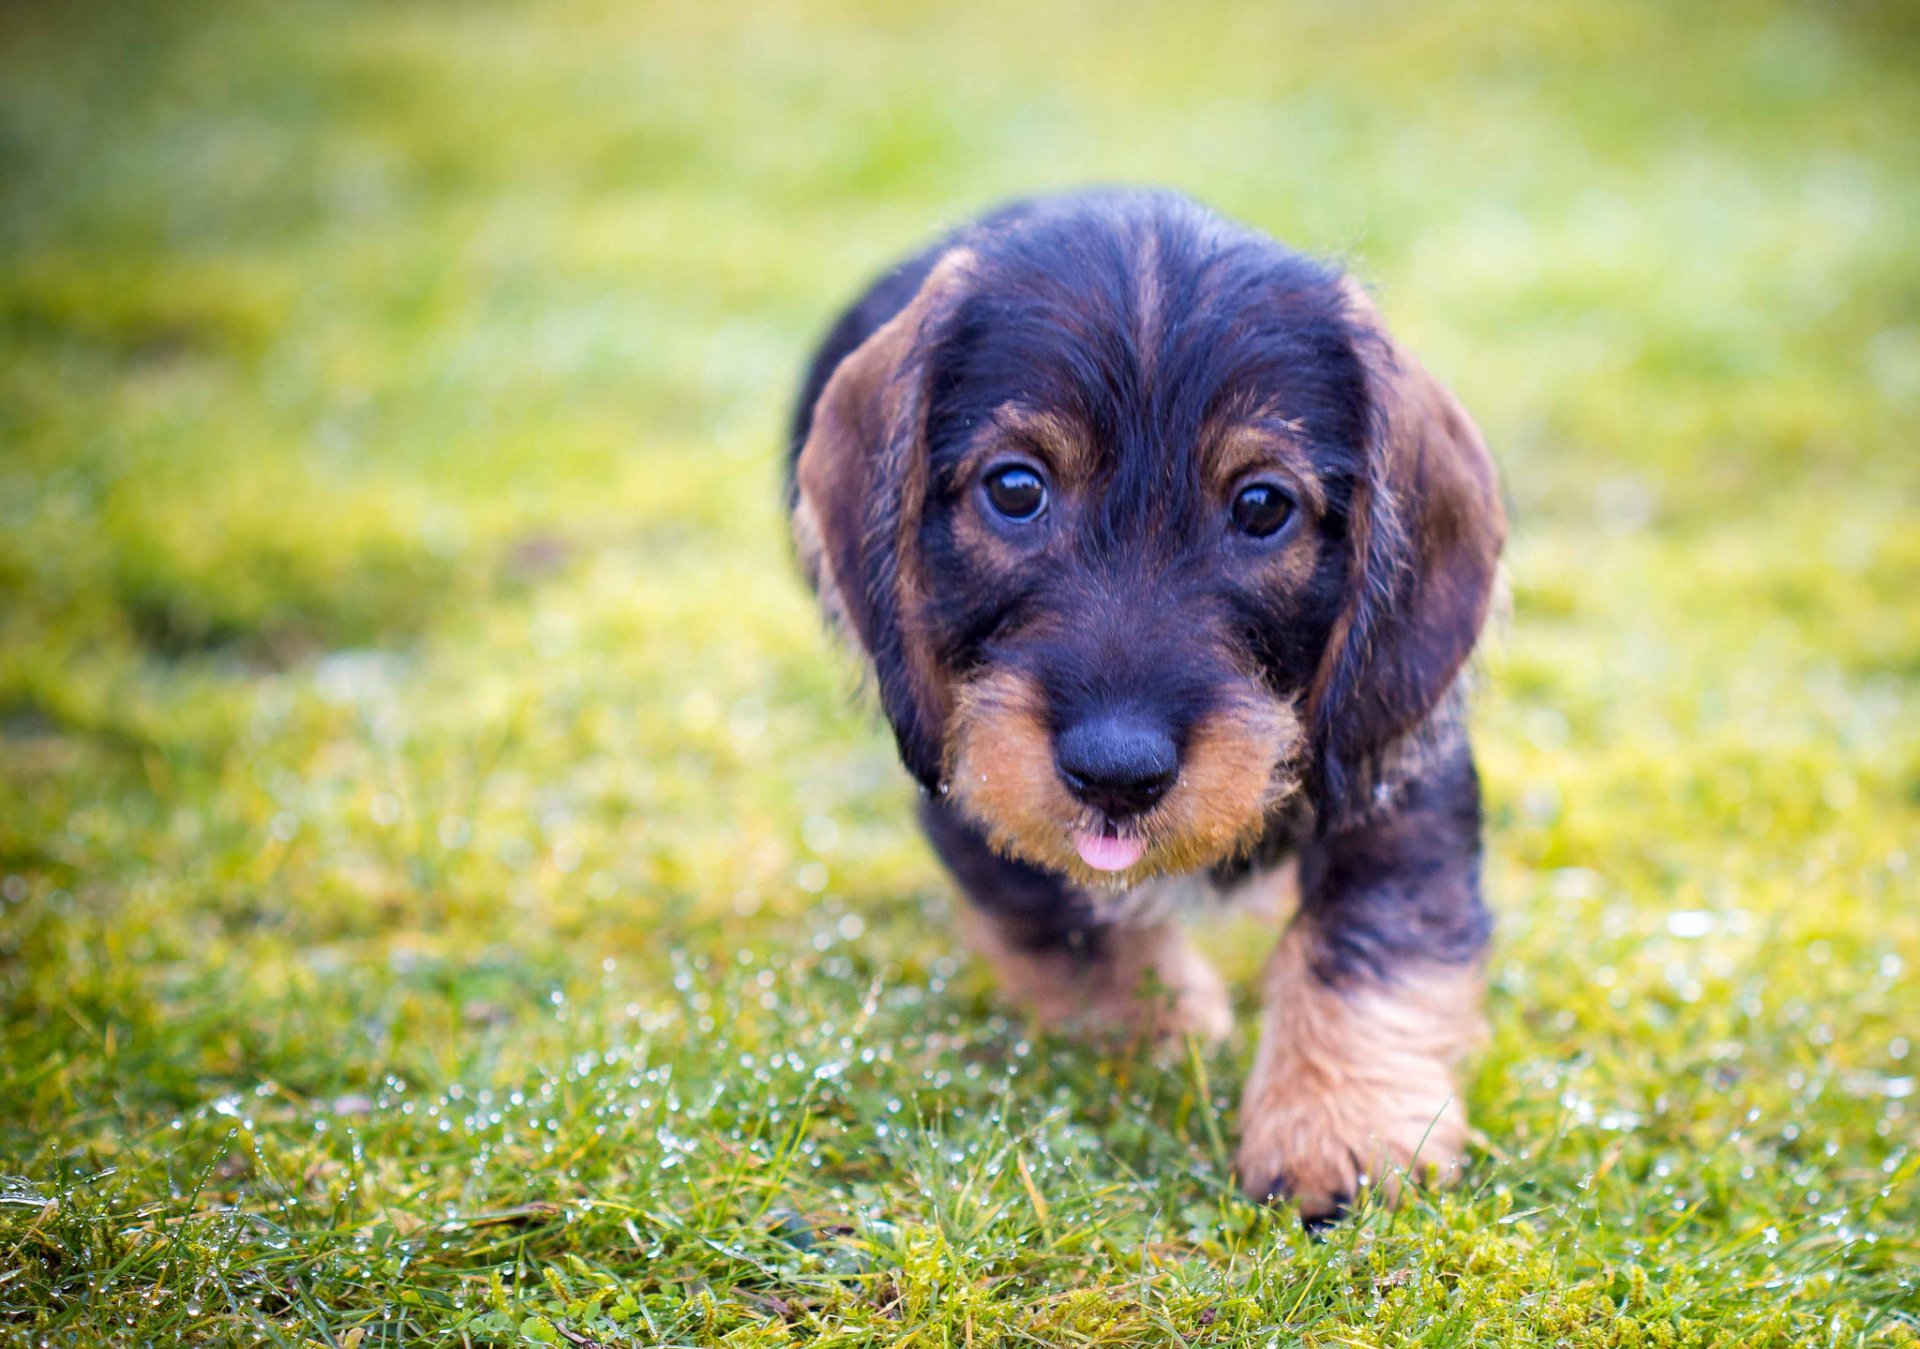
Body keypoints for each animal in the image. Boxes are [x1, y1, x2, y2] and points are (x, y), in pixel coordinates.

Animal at [787, 187, 1505, 1228]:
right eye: (1015, 487)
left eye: (1262, 505)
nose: (1116, 773)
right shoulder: (970, 768)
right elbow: (1067, 917)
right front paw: (1162, 1033)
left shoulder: (1397, 769)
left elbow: (1369, 933)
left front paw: (1339, 1127)